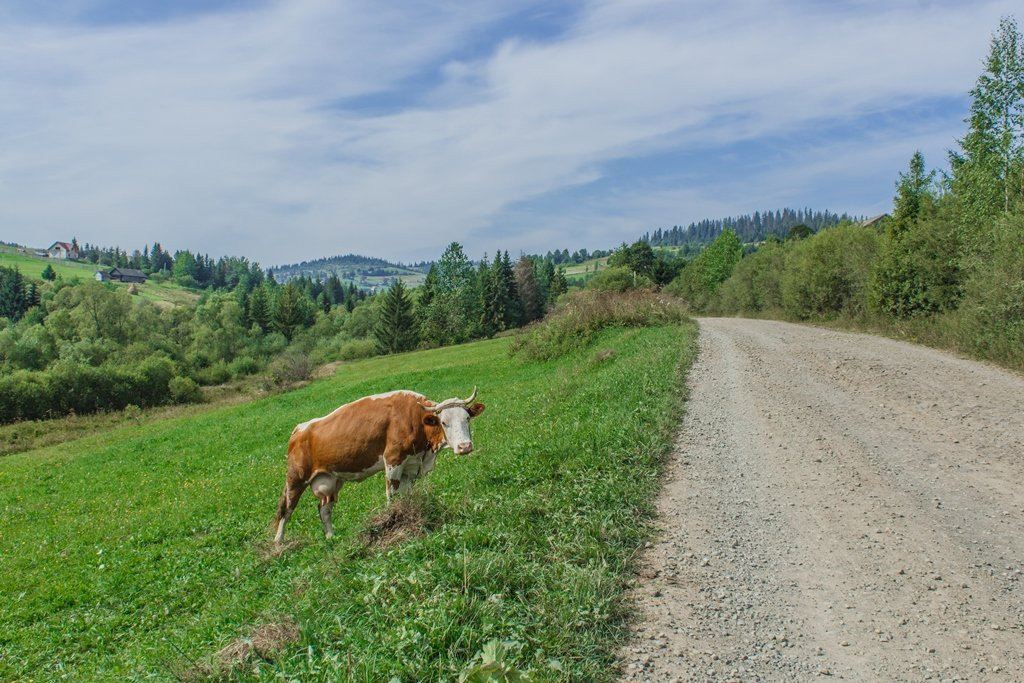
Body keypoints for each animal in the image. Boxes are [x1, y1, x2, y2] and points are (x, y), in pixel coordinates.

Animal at [270, 389, 481, 544]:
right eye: (444, 422)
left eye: (467, 419)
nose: (465, 446)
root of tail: (300, 428)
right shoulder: (393, 460)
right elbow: (392, 496)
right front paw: (393, 522)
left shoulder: (411, 467)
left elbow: (406, 495)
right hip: (296, 478)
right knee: (286, 509)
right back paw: (278, 543)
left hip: (332, 480)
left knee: (324, 509)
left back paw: (331, 537)